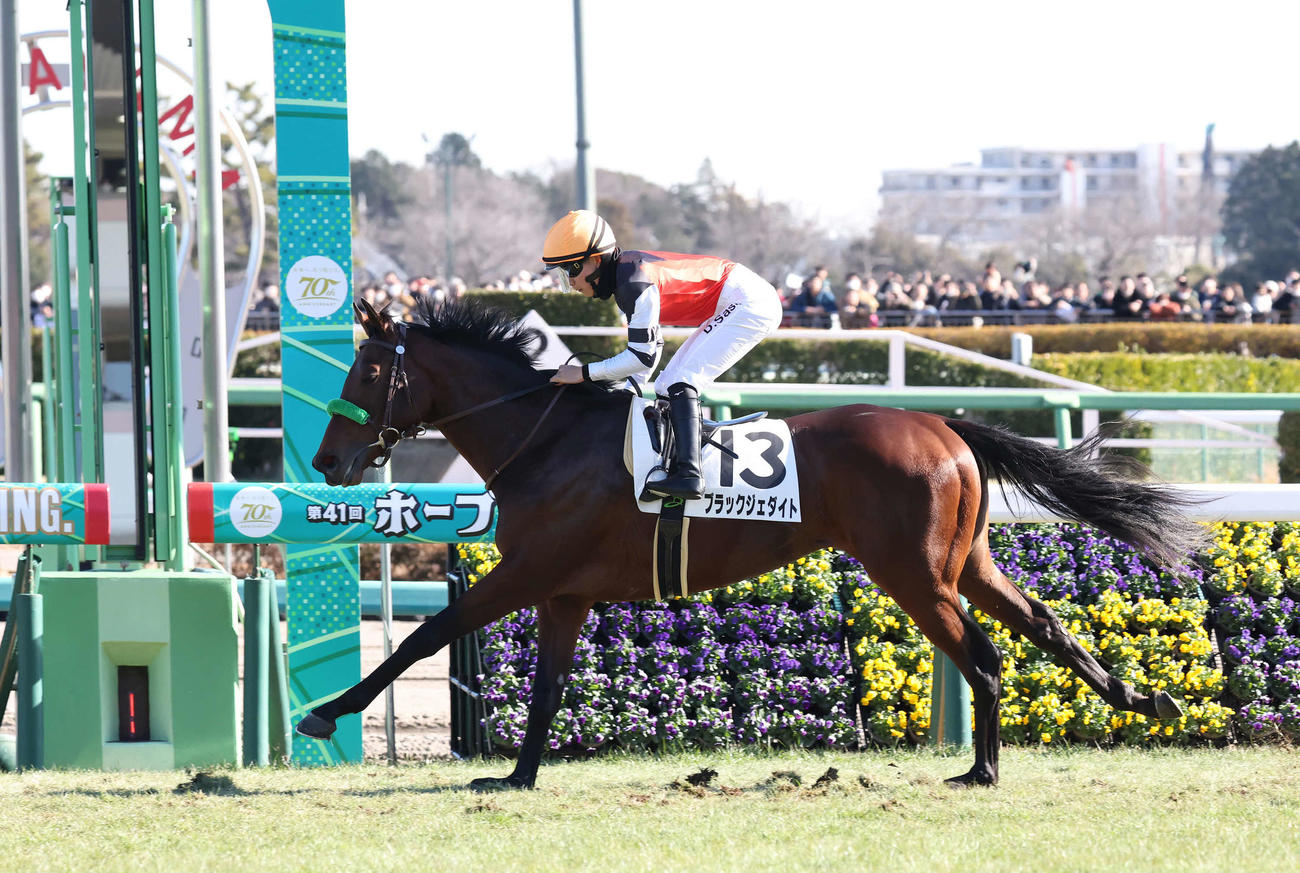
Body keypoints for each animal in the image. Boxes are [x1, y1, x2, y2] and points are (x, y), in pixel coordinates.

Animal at [300, 296, 1204, 789]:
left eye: (368, 372)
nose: (327, 462)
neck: (546, 437)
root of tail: (945, 425)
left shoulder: (525, 571)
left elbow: (423, 635)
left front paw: (326, 711)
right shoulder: (563, 590)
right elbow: (549, 684)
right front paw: (519, 773)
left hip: (914, 574)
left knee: (983, 655)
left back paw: (982, 767)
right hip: (965, 562)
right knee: (1041, 623)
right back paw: (1142, 699)